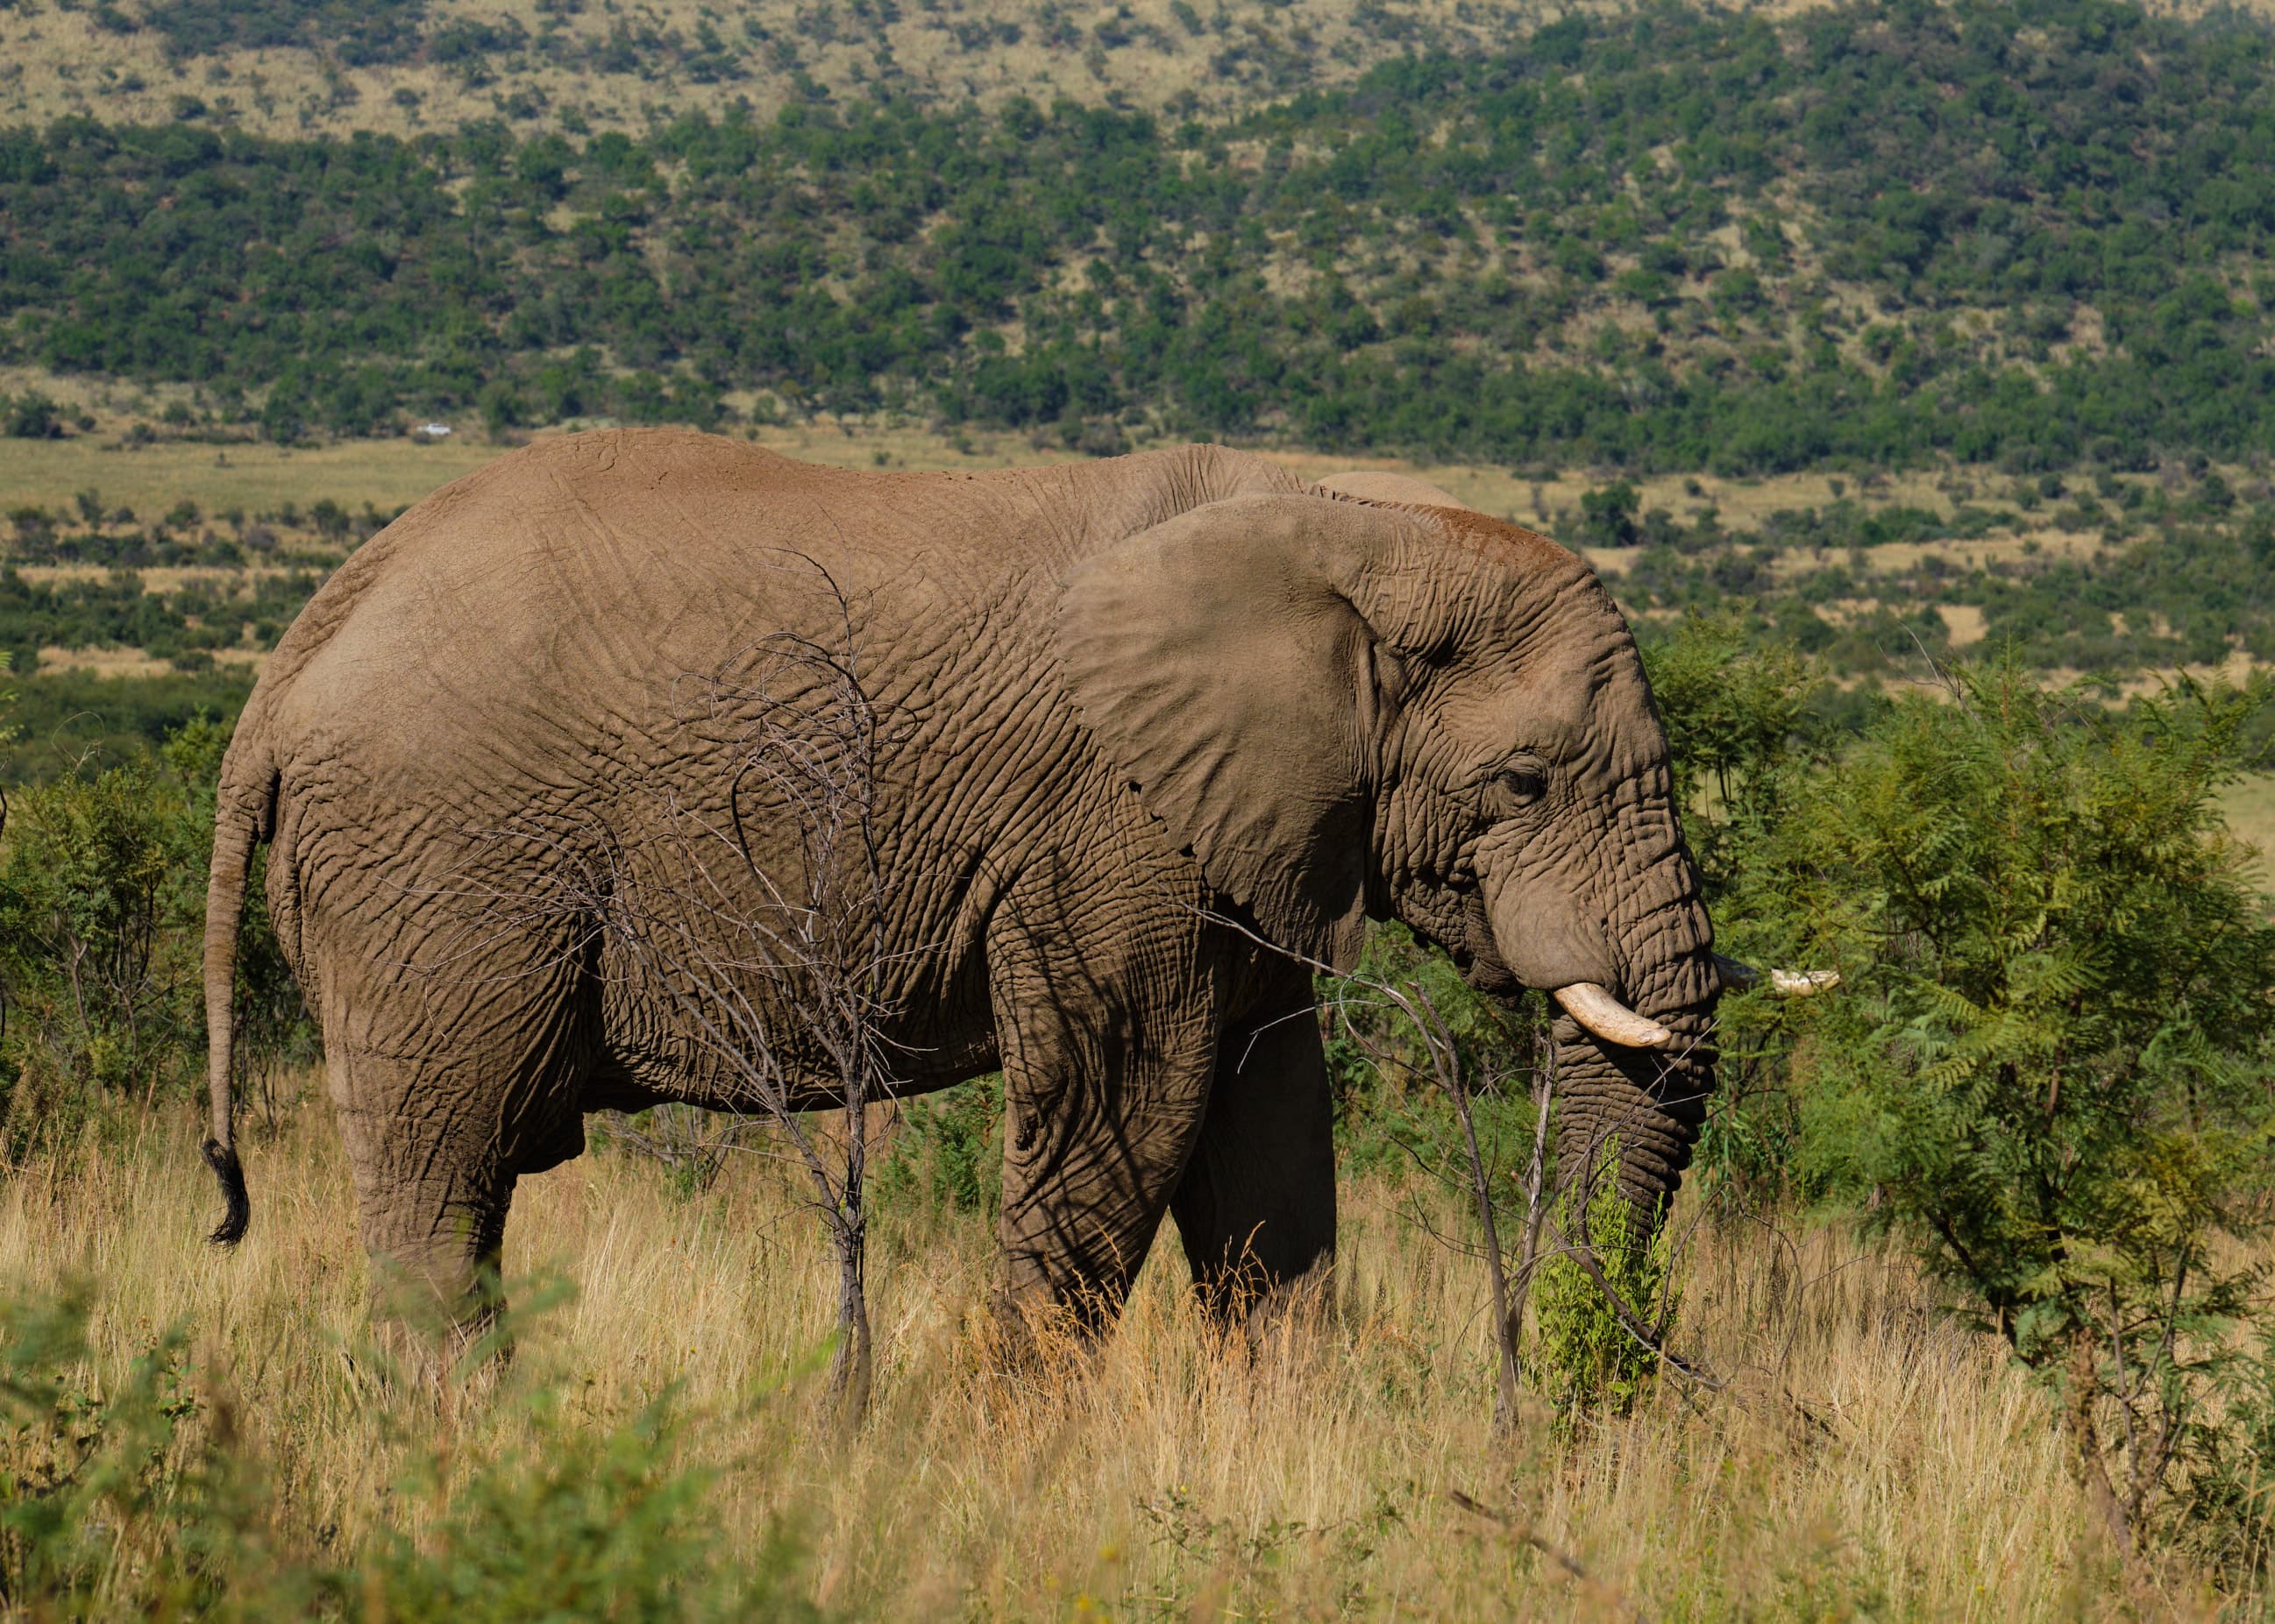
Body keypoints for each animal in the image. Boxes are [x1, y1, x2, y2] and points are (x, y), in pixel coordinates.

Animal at [198, 431, 1721, 1337]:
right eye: (1522, 783)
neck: (1347, 523)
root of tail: (293, 658)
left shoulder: (1246, 830)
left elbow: (1266, 1138)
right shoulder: (1108, 823)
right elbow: (1125, 1108)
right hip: (441, 874)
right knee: (441, 1189)